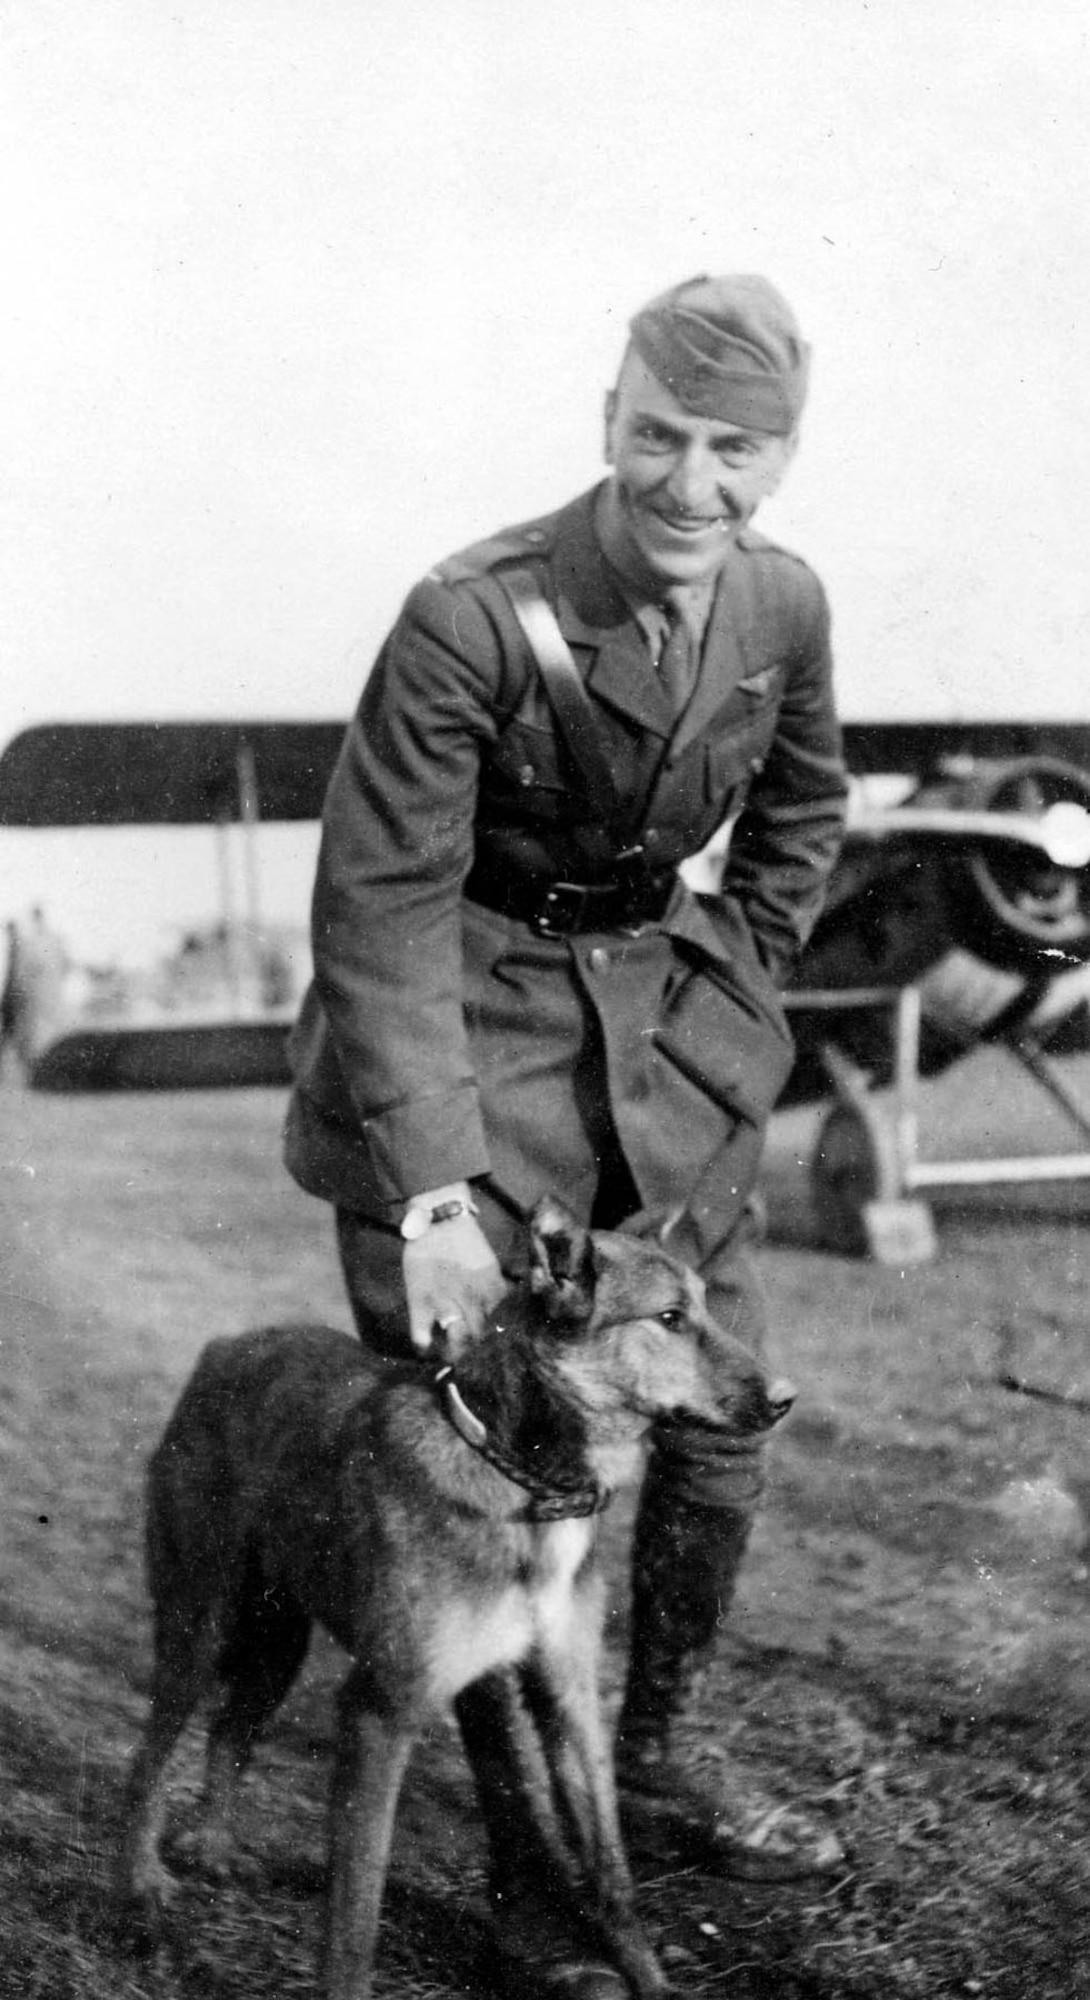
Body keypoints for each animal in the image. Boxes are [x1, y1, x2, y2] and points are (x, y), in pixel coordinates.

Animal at [119, 1192, 796, 1992]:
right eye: (668, 1318)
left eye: (706, 1308)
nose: (787, 1399)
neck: (525, 1481)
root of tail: (226, 1348)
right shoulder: (381, 1711)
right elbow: (356, 1914)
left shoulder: (570, 1701)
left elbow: (612, 1875)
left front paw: (652, 1983)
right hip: (203, 1628)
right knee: (149, 1763)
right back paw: (140, 1889)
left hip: (277, 1640)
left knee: (230, 1732)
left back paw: (214, 1845)